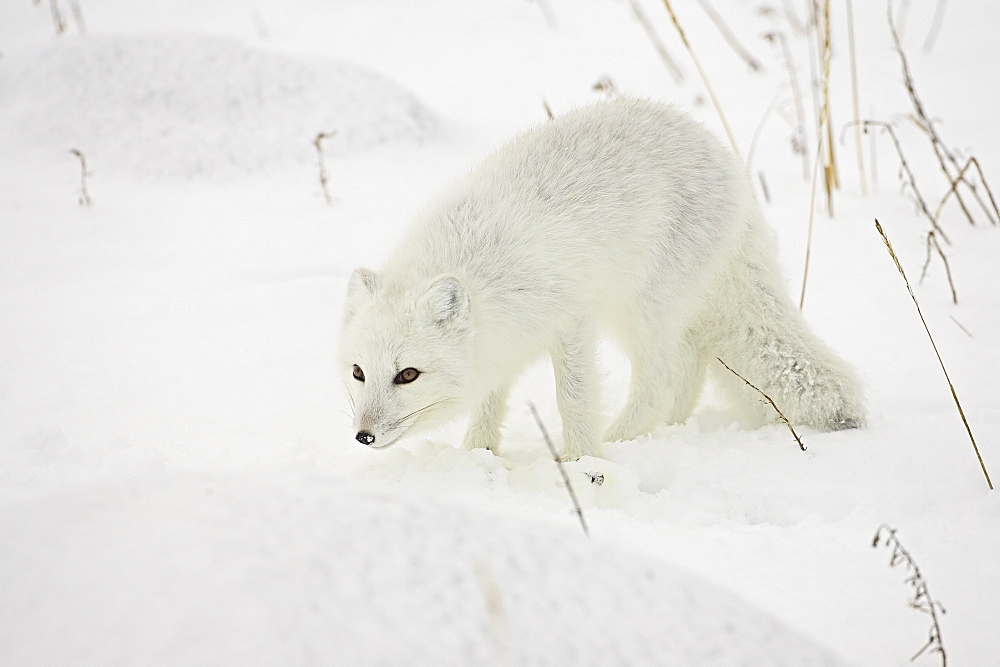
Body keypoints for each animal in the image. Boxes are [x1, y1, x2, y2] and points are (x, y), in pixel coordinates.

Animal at [340, 99, 864, 462]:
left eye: (408, 374)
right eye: (358, 372)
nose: (363, 435)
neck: (478, 265)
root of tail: (725, 158)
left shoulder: (571, 322)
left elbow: (572, 398)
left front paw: (582, 462)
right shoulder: (501, 341)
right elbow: (490, 402)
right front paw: (477, 456)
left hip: (641, 309)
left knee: (660, 381)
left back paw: (623, 442)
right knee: (688, 366)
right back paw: (668, 430)